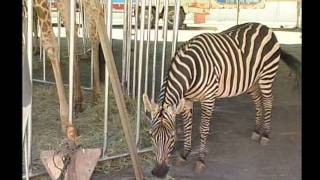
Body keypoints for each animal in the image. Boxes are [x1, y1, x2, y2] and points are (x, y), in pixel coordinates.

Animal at [143, 22, 300, 177]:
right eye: (150, 135)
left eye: (172, 136)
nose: (159, 172)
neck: (190, 69)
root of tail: (266, 27)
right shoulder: (186, 100)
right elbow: (188, 126)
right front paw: (184, 155)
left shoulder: (208, 98)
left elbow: (203, 128)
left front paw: (200, 161)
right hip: (251, 82)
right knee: (258, 101)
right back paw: (256, 131)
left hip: (267, 76)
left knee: (268, 101)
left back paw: (265, 134)